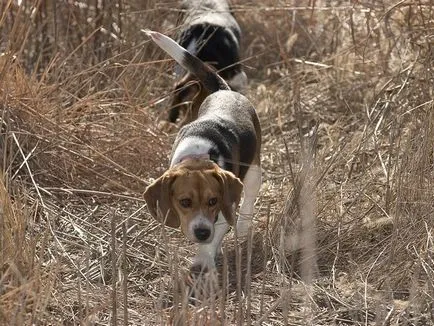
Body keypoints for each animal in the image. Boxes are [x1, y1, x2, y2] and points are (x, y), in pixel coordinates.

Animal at [143, 30, 262, 272]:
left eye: (213, 201)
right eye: (185, 202)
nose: (202, 232)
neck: (199, 155)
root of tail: (225, 91)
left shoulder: (224, 208)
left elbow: (217, 233)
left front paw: (203, 259)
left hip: (254, 169)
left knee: (250, 194)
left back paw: (243, 226)